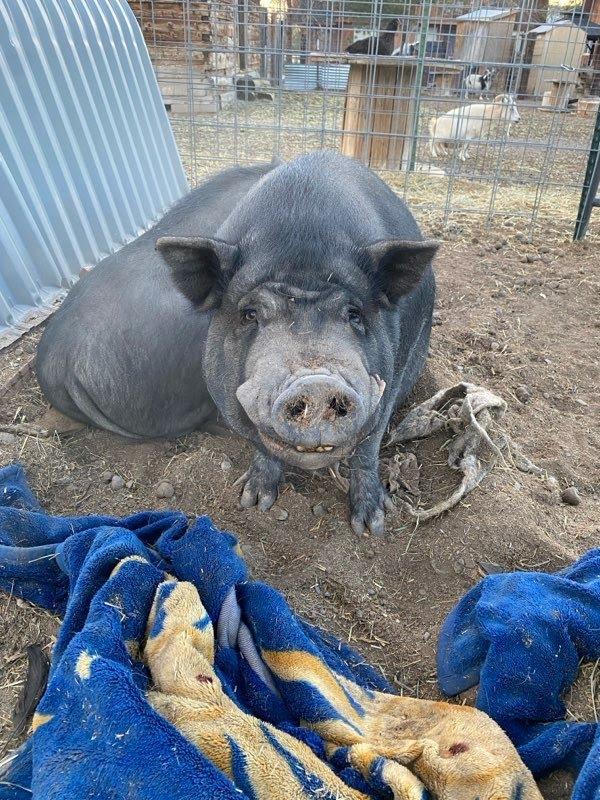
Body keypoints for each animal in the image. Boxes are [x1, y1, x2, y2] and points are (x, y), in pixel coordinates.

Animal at [36, 152, 439, 534]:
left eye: (354, 314)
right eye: (249, 314)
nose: (316, 382)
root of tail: (59, 361)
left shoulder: (395, 370)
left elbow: (369, 445)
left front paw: (371, 526)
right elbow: (259, 445)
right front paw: (253, 501)